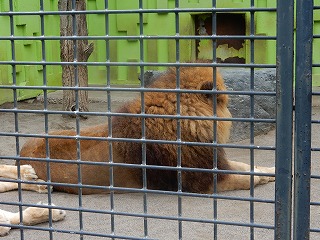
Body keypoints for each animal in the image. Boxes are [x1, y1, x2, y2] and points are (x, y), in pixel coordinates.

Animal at [0, 64, 276, 195]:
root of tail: (20, 153)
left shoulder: (214, 164)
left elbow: (246, 166)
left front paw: (269, 171)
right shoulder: (202, 183)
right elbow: (243, 178)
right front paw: (261, 178)